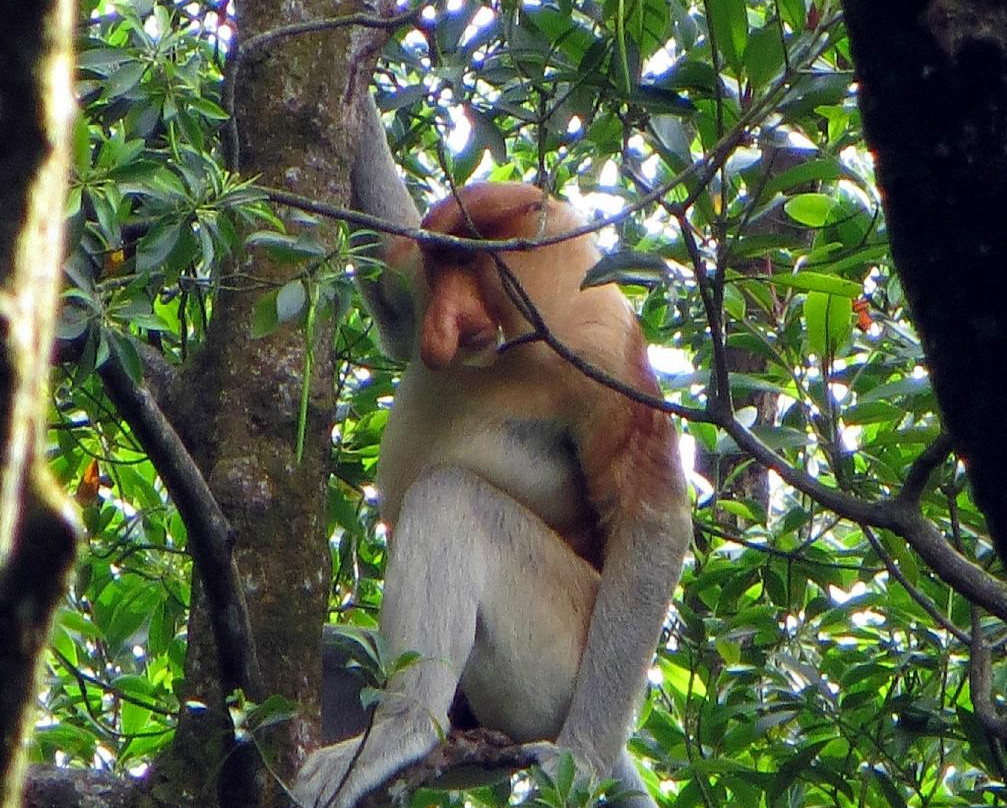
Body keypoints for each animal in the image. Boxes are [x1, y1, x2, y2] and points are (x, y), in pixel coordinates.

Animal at [294, 97, 692, 805]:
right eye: (443, 263)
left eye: (472, 263)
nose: (442, 331)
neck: (525, 339)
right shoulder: (416, 280)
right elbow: (393, 289)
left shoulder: (602, 355)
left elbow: (654, 520)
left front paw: (580, 760)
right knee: (339, 652)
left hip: (558, 653)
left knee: (452, 501)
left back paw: (401, 731)